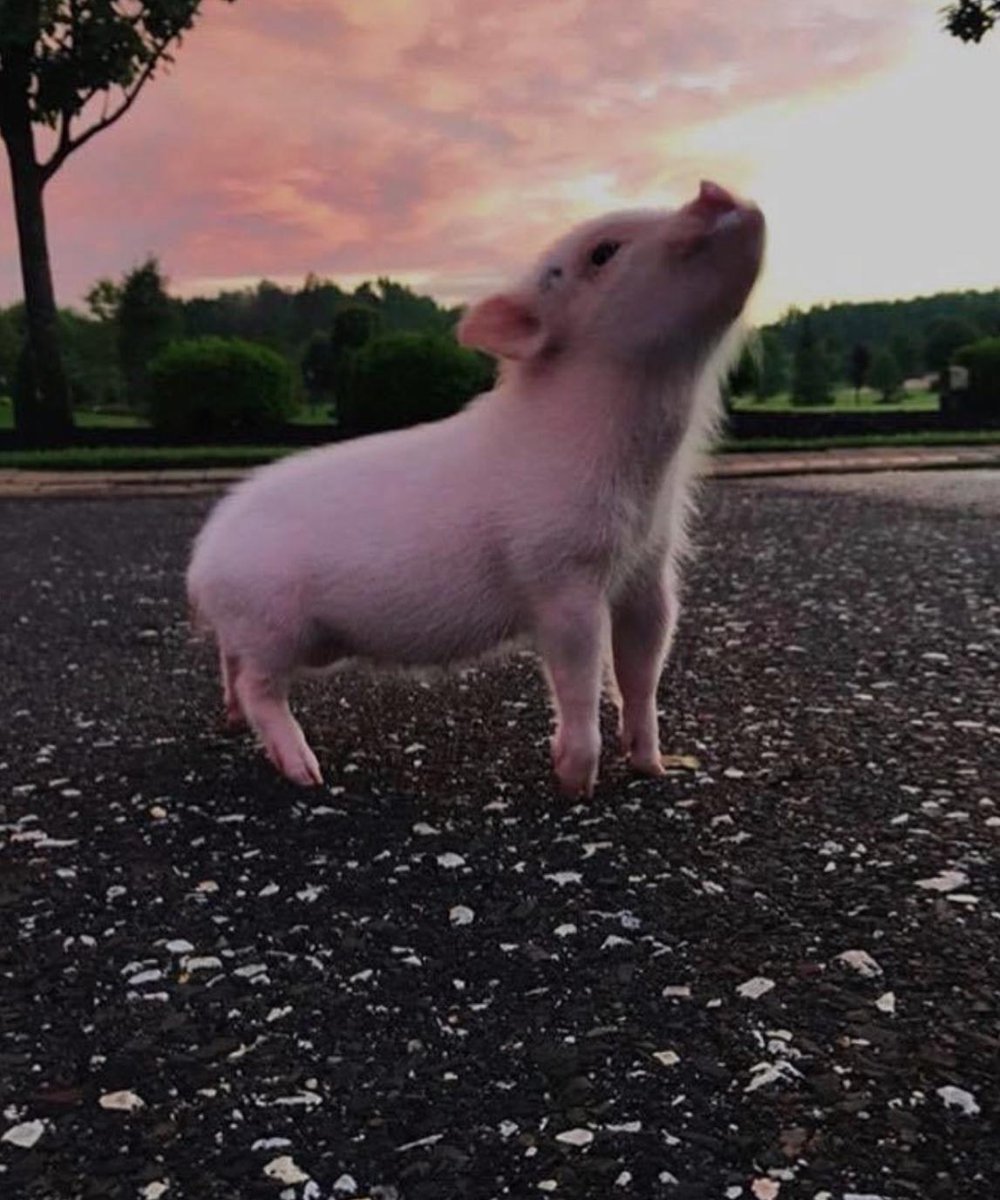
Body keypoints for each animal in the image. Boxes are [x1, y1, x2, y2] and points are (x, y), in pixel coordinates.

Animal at [186, 180, 765, 796]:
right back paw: (306, 773)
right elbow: (580, 672)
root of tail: (200, 565)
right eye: (603, 252)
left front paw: (652, 767)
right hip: (272, 622)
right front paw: (575, 784)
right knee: (261, 688)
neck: (647, 470)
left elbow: (644, 664)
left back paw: (233, 722)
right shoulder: (558, 571)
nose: (715, 190)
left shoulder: (650, 565)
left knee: (233, 666)